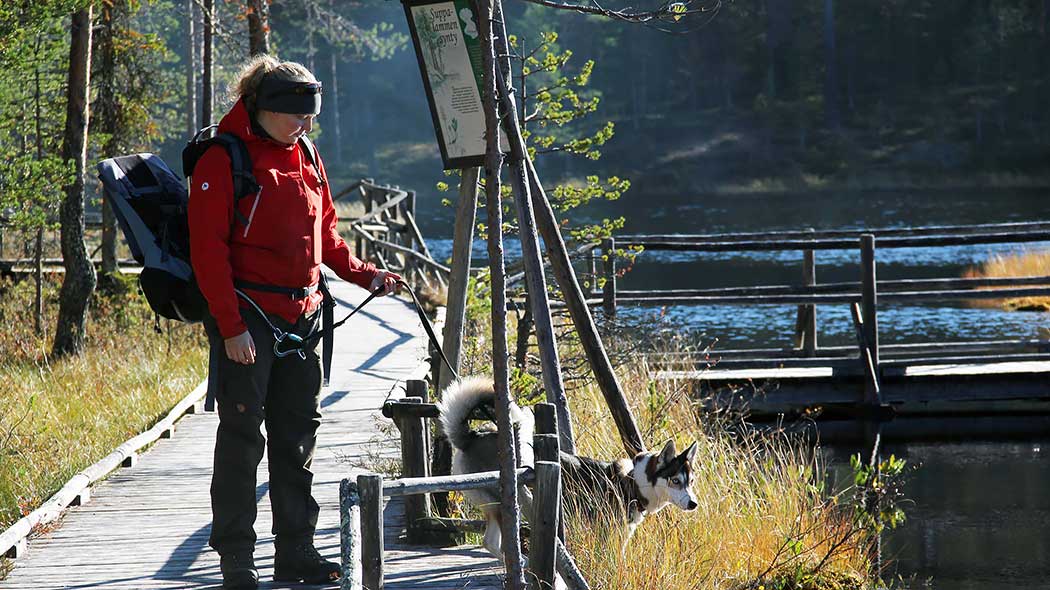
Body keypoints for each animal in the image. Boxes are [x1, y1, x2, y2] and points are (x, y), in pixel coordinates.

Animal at [434, 373, 697, 558]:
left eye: (691, 482)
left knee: (489, 542)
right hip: (506, 501)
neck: (634, 481)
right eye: (675, 480)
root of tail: (471, 438)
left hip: (496, 505)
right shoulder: (608, 534)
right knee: (493, 541)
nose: (694, 504)